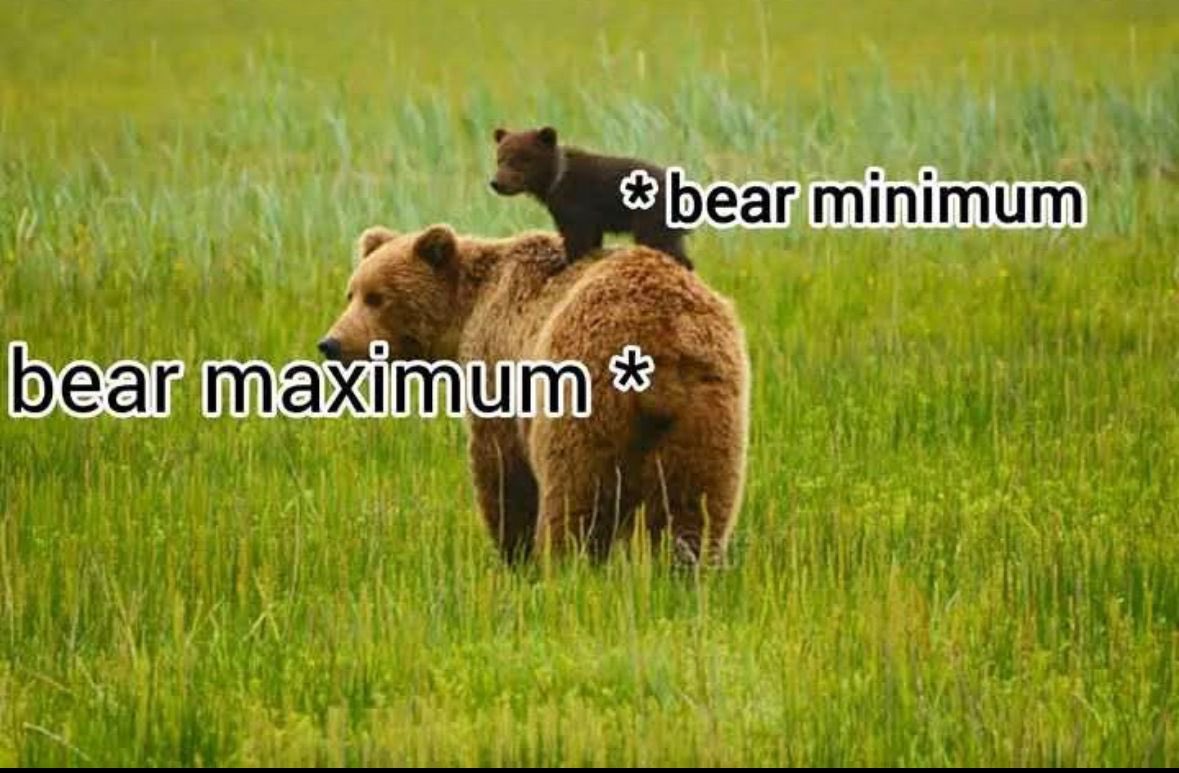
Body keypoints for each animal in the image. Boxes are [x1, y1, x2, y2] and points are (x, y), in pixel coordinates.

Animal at [318, 225, 748, 565]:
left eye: (378, 297)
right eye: (351, 293)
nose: (331, 344)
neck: (466, 315)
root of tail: (660, 338)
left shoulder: (498, 363)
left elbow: (500, 467)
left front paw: (513, 552)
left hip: (585, 399)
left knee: (576, 493)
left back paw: (564, 567)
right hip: (708, 409)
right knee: (695, 504)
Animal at [489, 126, 694, 270]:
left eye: (521, 159)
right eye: (500, 158)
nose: (496, 183)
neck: (554, 181)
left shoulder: (576, 204)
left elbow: (577, 238)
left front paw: (564, 263)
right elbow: (592, 240)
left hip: (652, 216)